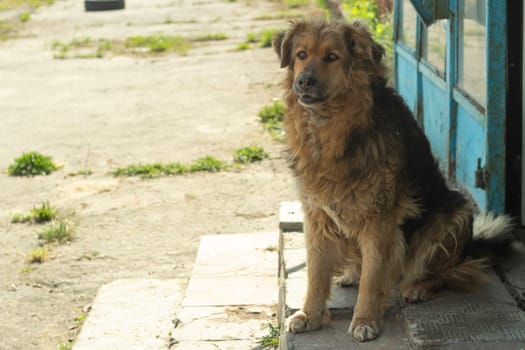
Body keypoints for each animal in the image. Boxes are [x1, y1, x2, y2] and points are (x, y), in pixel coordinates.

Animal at [272, 19, 512, 342]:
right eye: (301, 54)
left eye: (332, 57)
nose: (304, 82)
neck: (334, 126)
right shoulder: (317, 215)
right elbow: (316, 273)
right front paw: (310, 314)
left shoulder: (380, 220)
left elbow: (373, 279)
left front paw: (365, 319)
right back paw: (351, 273)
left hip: (455, 214)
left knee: (448, 272)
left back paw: (418, 286)